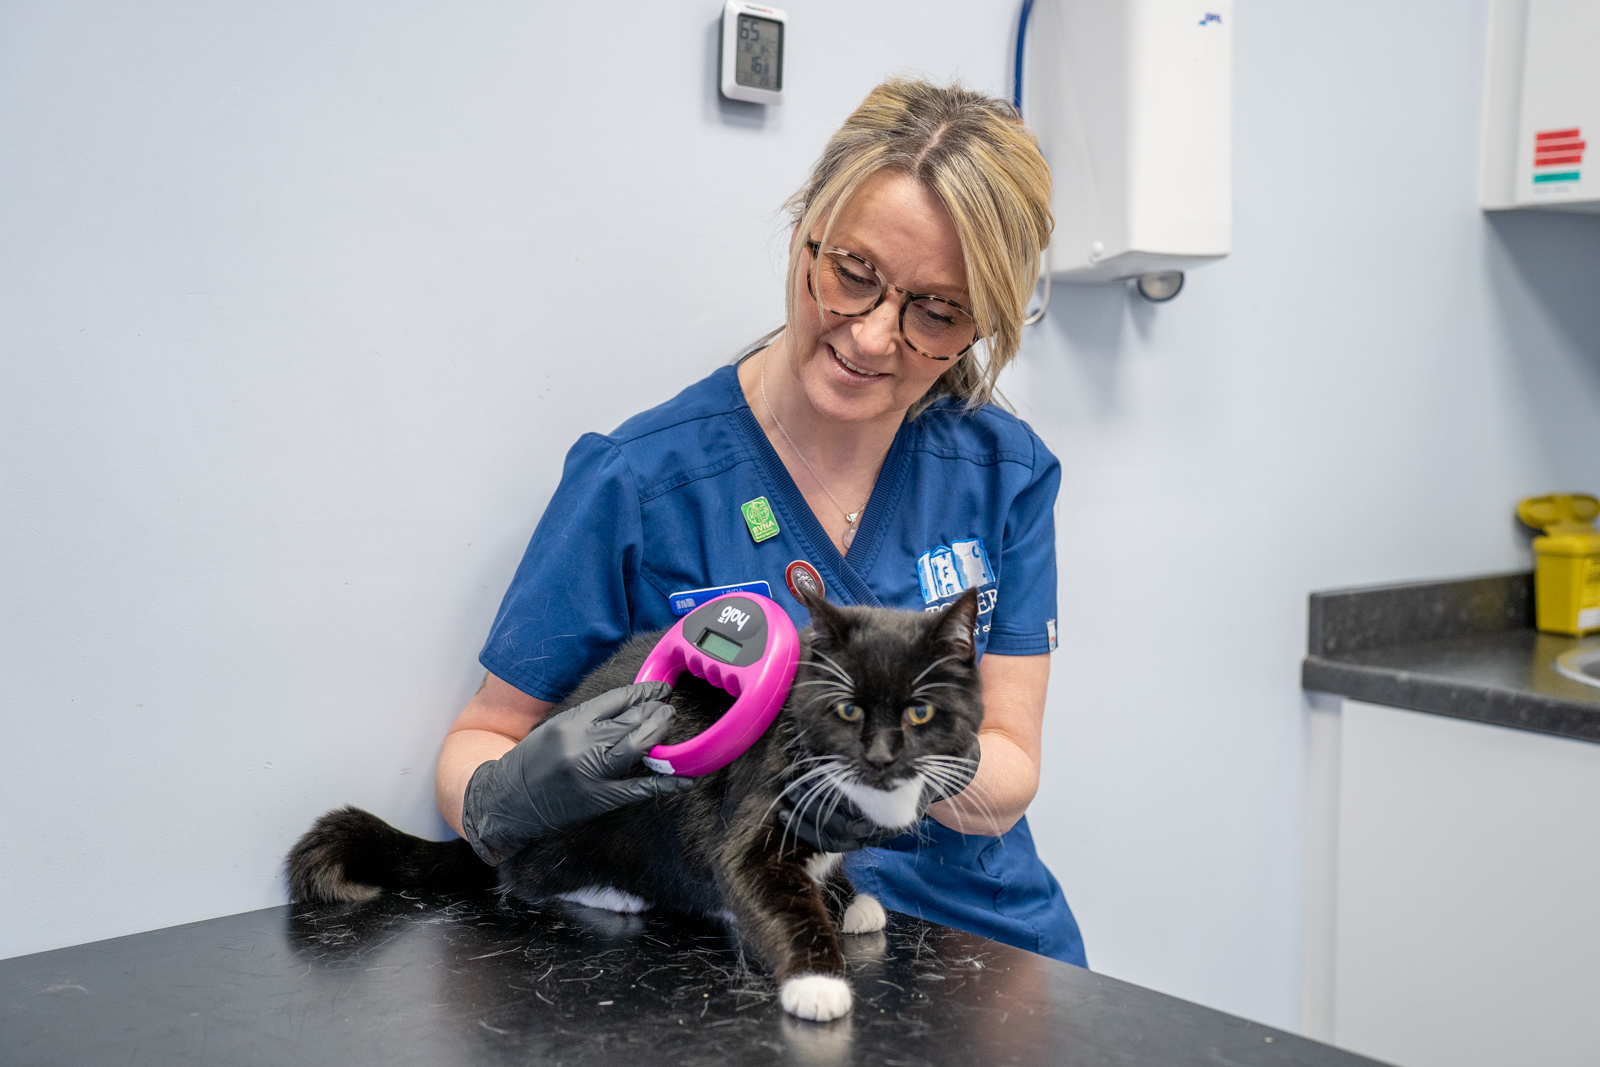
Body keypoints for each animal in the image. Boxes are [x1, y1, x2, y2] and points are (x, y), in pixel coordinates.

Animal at [289, 588, 985, 1023]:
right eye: (846, 709)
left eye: (920, 713)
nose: (881, 756)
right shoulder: (752, 812)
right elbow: (760, 885)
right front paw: (816, 980)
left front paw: (846, 897)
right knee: (520, 877)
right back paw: (614, 894)